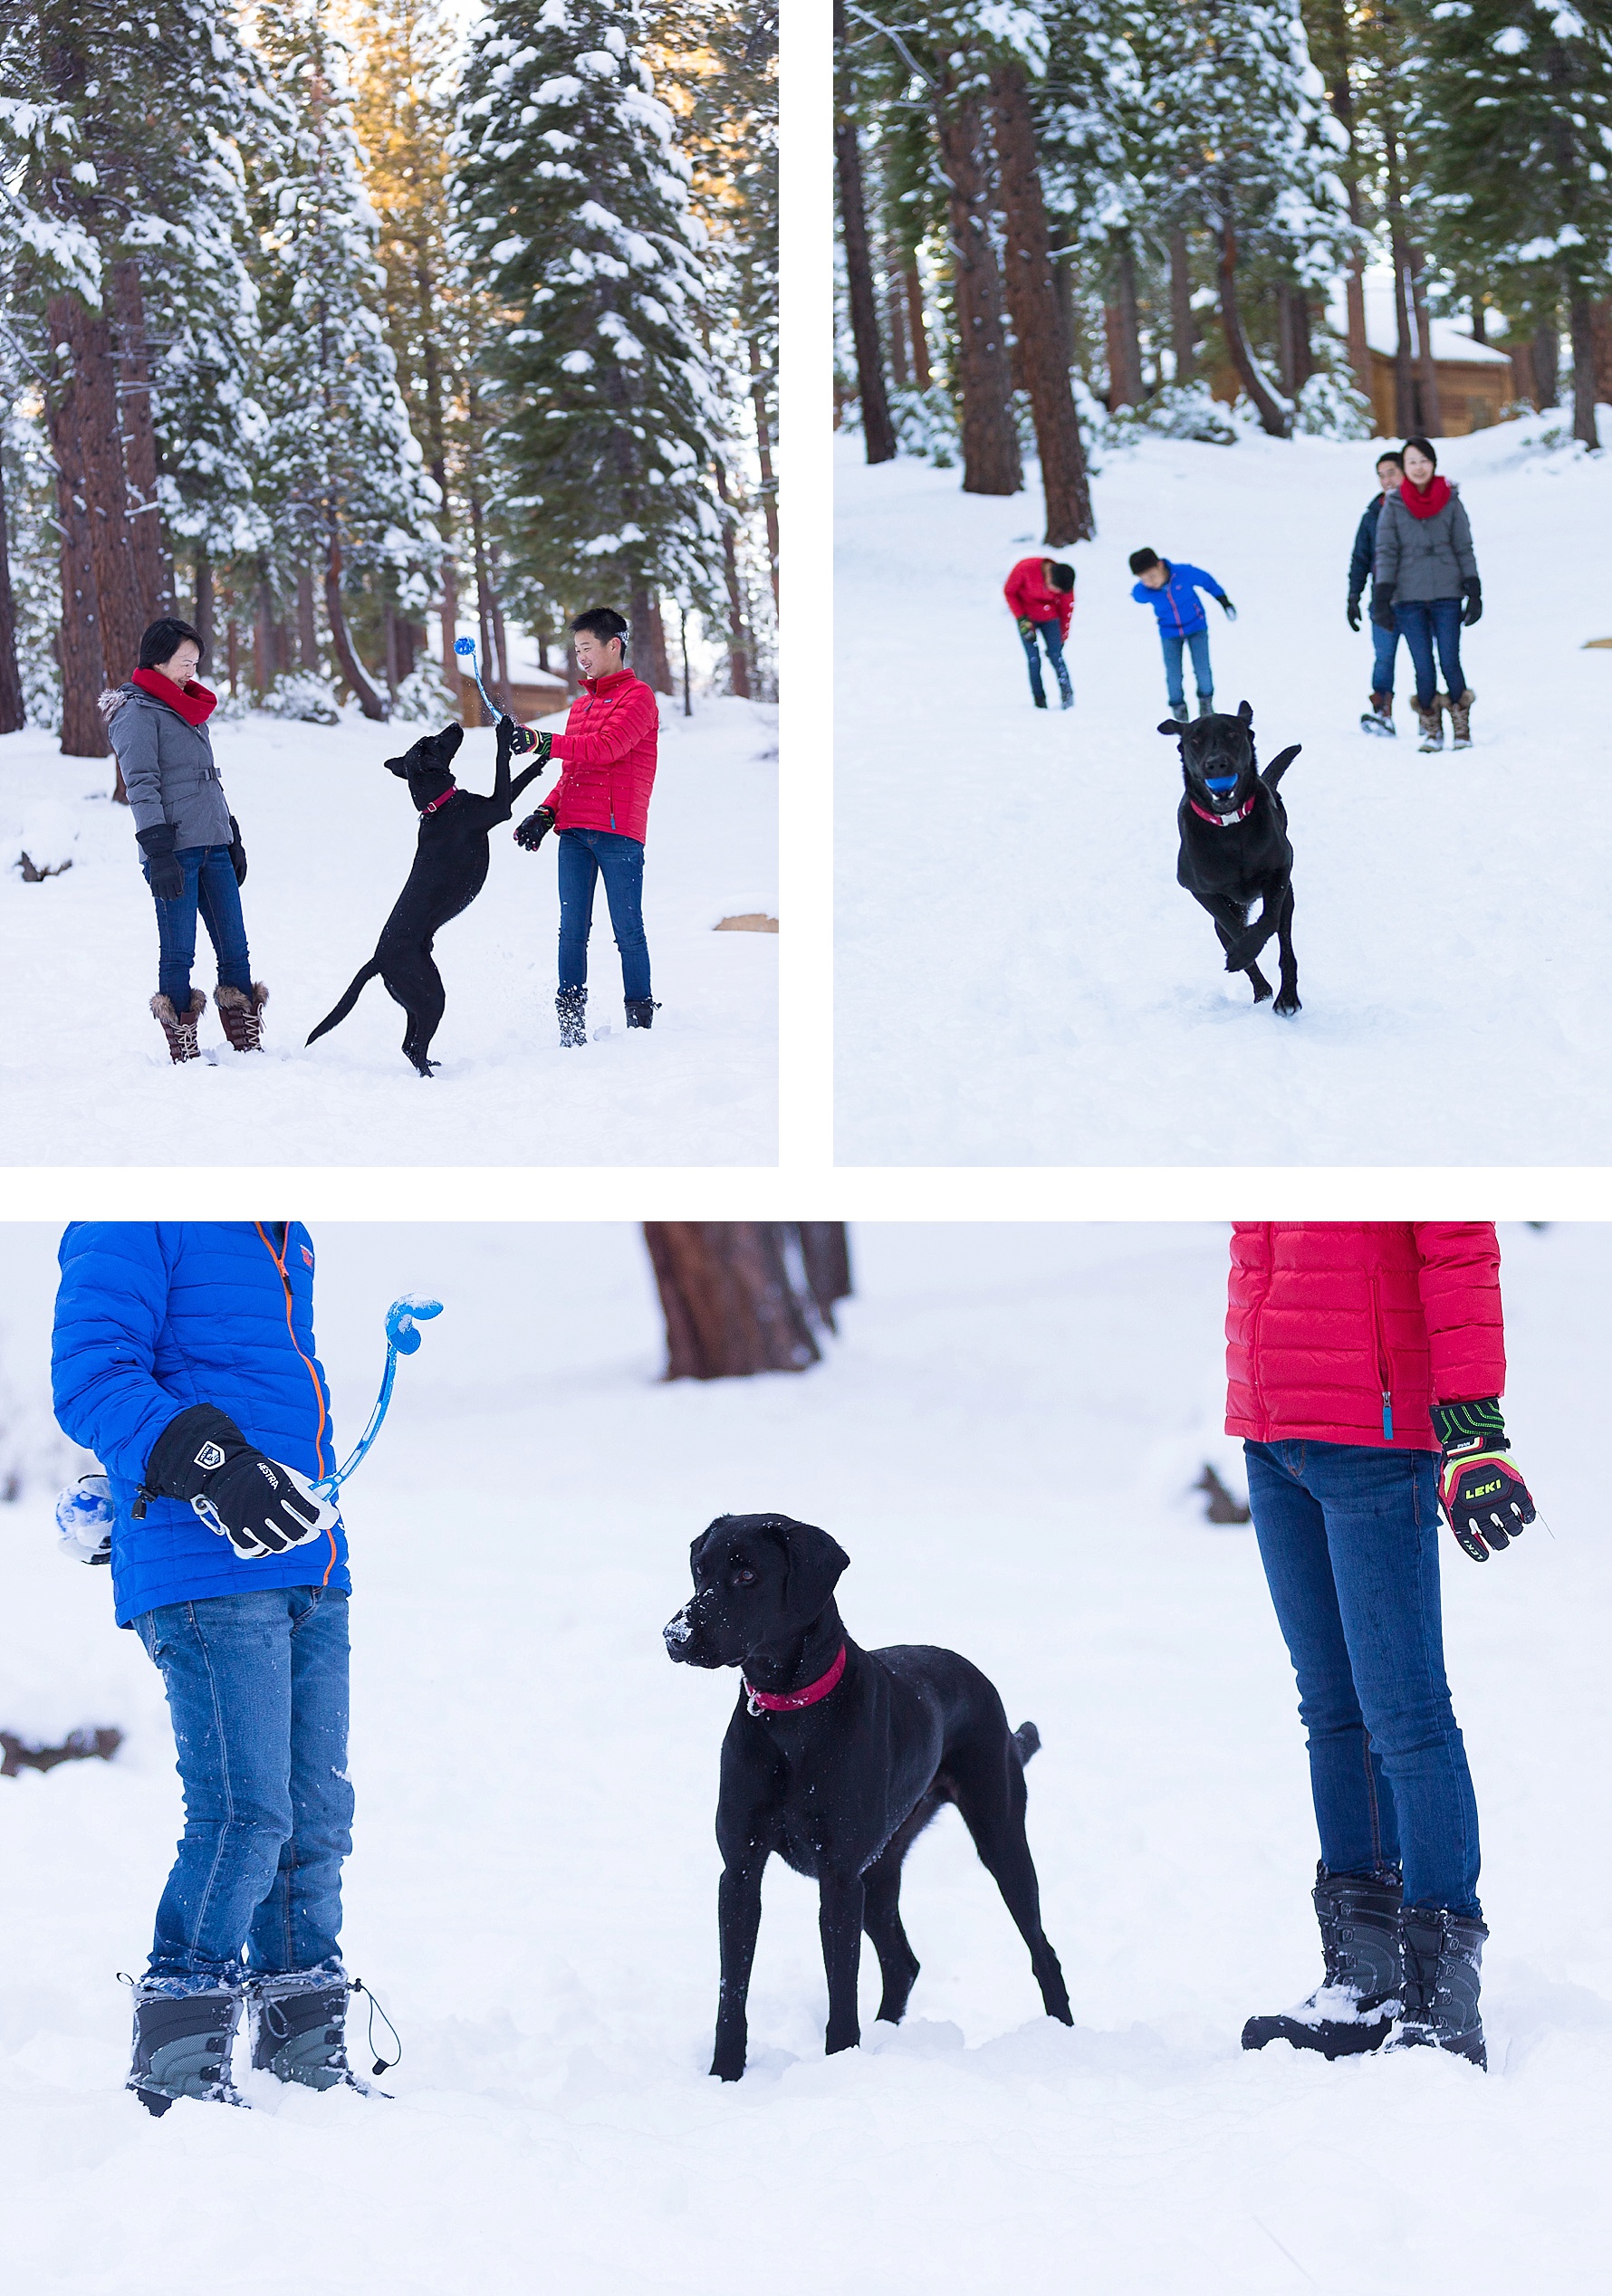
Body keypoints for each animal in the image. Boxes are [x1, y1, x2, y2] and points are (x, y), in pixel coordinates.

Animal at [305, 716, 553, 1074]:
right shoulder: (497, 807)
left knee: (408, 1044)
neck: (439, 804)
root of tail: (378, 960)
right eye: (431, 742)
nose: (454, 724)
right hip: (431, 994)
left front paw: (543, 757)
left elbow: (520, 777)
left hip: (415, 1001)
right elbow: (502, 768)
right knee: (414, 1047)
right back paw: (431, 1076)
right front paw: (504, 732)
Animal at [661, 1506, 1079, 2084]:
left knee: (1043, 1950)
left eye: (747, 1575)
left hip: (1000, 1840)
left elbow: (841, 1986)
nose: (674, 1636)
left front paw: (839, 2064)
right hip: (880, 1870)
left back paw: (1063, 2036)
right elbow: (732, 1989)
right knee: (904, 1962)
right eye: (700, 1571)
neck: (791, 1717)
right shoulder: (741, 1870)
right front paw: (725, 2074)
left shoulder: (838, 1876)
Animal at [1166, 697, 1304, 1024]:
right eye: (1195, 740)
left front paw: (1248, 948)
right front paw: (1242, 953)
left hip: (1288, 896)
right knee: (1228, 931)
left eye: (1232, 734)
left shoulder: (1281, 870)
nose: (1217, 763)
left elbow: (1269, 921)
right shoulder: (1199, 889)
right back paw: (1262, 991)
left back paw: (1286, 998)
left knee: (1285, 944)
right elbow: (1233, 929)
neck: (1230, 827)